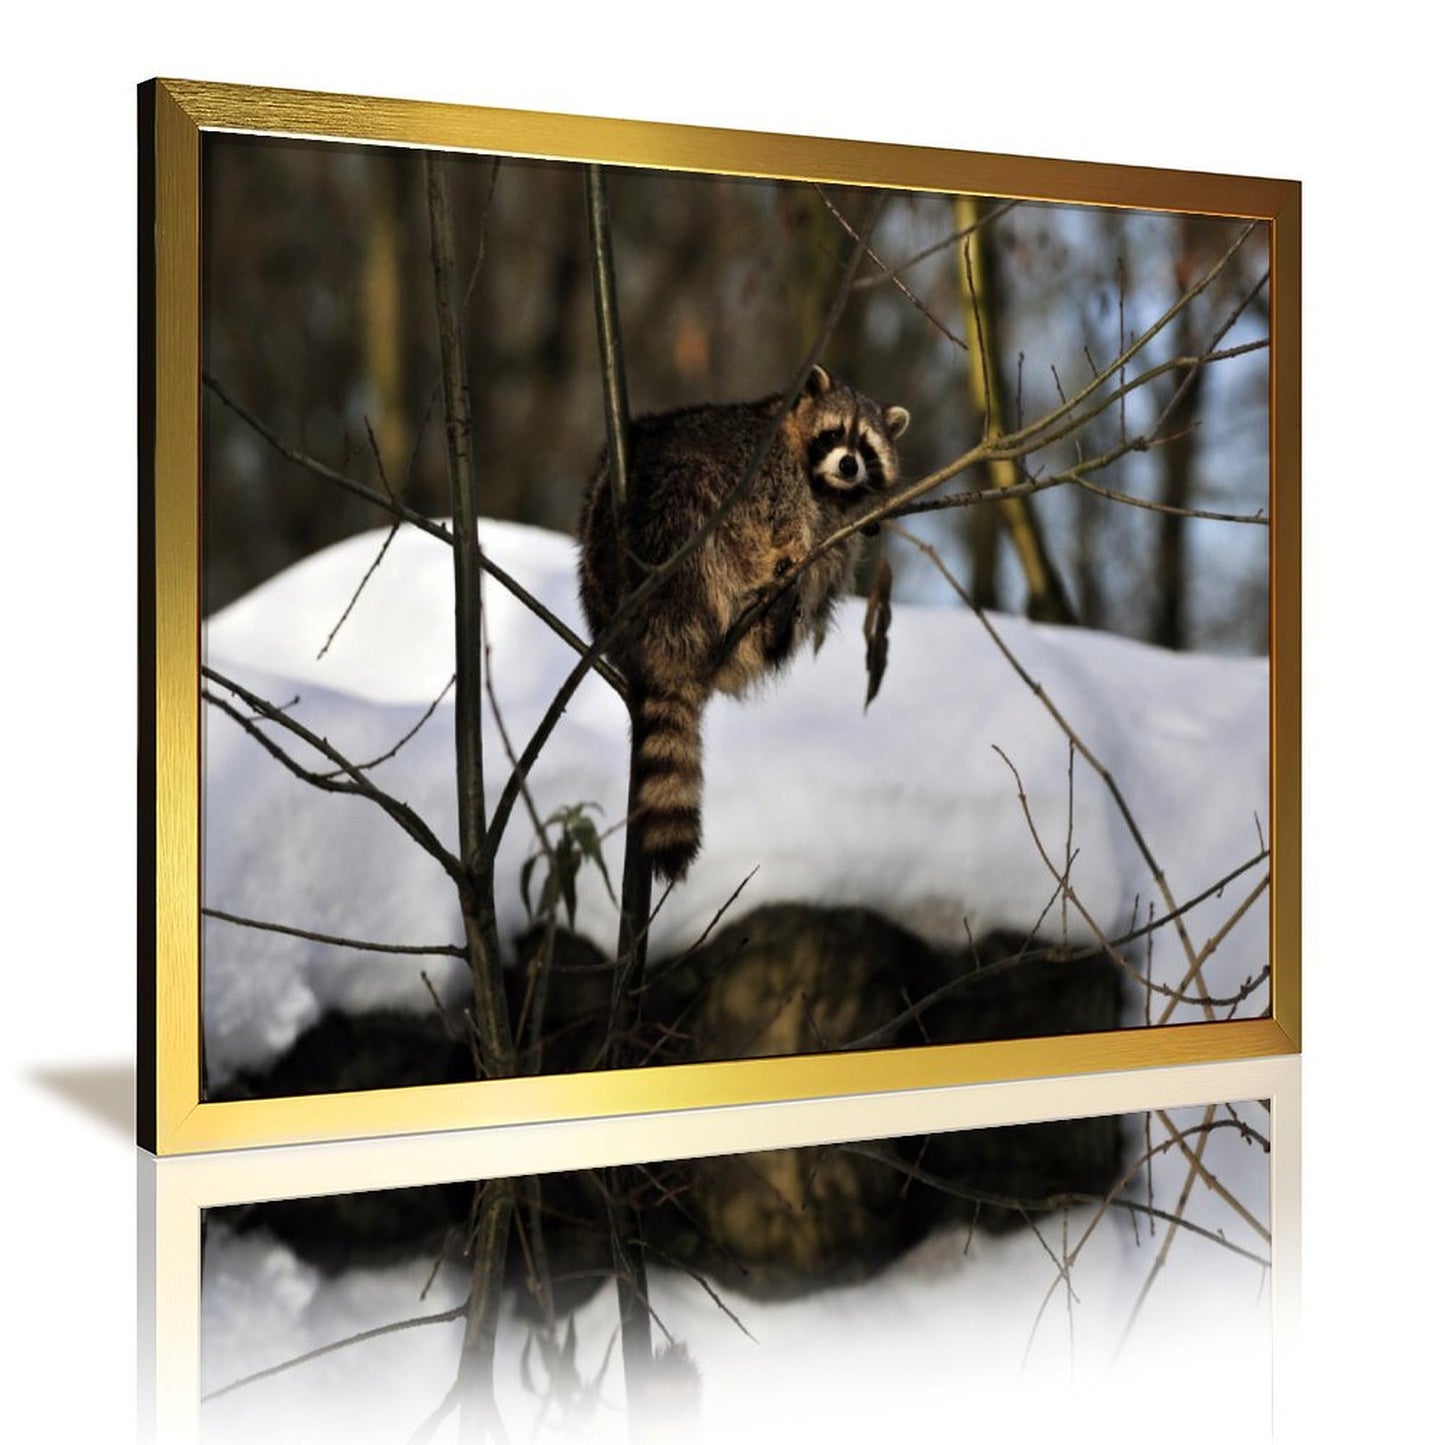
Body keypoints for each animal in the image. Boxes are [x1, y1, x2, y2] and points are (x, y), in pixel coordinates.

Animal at [578, 365, 909, 882]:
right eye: (834, 433)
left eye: (867, 446)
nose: (849, 466)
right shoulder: (771, 469)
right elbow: (783, 518)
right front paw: (791, 547)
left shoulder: (838, 513)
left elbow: (835, 544)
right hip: (674, 533)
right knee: (695, 500)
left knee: (826, 574)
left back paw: (777, 624)